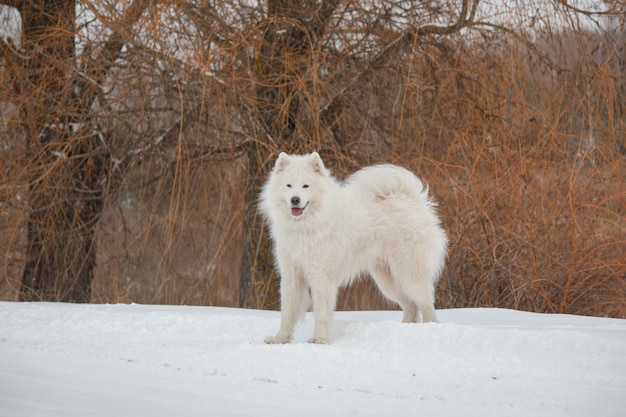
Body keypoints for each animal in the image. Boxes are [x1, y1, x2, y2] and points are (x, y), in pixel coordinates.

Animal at [258, 151, 444, 342]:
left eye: (305, 186)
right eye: (288, 185)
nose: (295, 200)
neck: (306, 225)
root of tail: (413, 201)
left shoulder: (322, 276)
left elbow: (321, 313)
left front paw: (319, 340)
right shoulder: (291, 275)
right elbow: (287, 312)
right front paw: (279, 339)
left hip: (409, 274)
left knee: (426, 304)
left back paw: (430, 328)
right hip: (389, 280)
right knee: (411, 306)